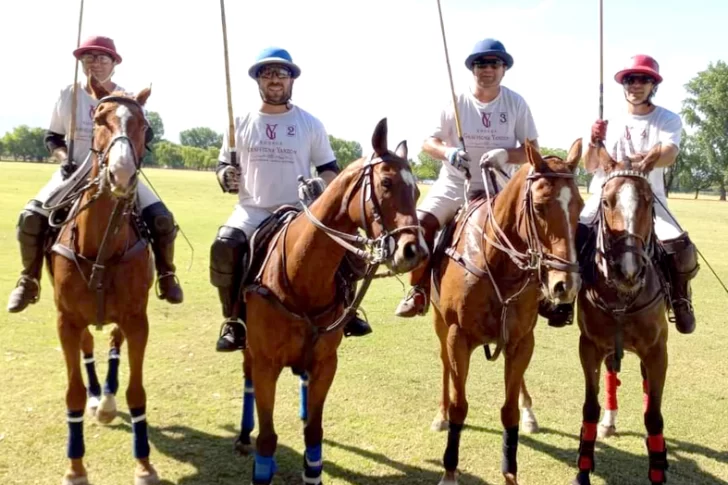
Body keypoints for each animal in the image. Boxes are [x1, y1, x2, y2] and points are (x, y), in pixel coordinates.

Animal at [48, 75, 159, 484]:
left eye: (145, 127)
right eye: (98, 119)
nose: (121, 175)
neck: (100, 246)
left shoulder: (138, 318)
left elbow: (137, 391)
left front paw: (144, 464)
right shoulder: (65, 320)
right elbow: (74, 394)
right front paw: (75, 466)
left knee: (112, 341)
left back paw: (107, 401)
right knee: (87, 346)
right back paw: (99, 398)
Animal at [236, 118, 430, 484]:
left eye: (416, 191)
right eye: (386, 183)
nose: (415, 251)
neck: (302, 276)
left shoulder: (326, 362)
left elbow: (314, 431)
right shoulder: (266, 362)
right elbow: (267, 438)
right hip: (247, 346)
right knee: (246, 375)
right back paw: (241, 436)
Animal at [430, 138, 584, 482]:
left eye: (580, 206)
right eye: (539, 207)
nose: (565, 285)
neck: (497, 262)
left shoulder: (521, 340)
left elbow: (509, 409)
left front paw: (510, 472)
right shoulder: (458, 336)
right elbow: (460, 404)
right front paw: (449, 470)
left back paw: (530, 413)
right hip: (438, 321)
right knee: (444, 364)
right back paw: (441, 414)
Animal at [568, 143, 672, 484]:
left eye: (649, 201)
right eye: (606, 201)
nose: (627, 270)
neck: (623, 296)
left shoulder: (657, 350)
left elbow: (653, 415)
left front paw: (657, 468)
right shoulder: (589, 345)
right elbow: (590, 406)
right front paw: (583, 470)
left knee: (645, 384)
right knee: (612, 371)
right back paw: (609, 423)